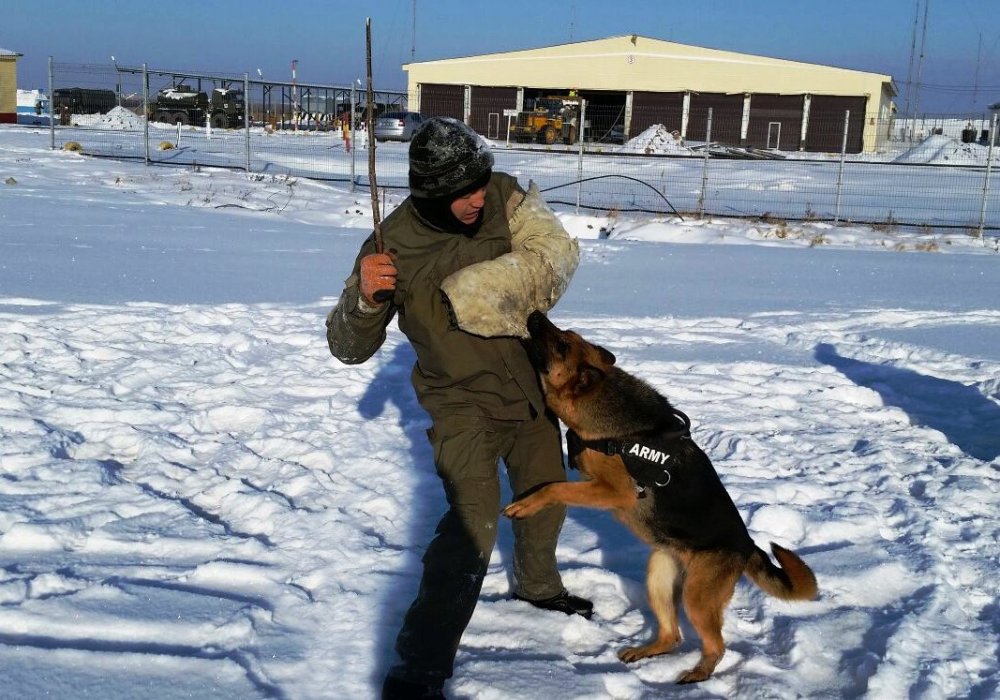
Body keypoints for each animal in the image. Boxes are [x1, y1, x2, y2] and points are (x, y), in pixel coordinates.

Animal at [504, 312, 816, 684]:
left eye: (562, 344)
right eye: (566, 334)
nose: (535, 314)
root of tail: (746, 545)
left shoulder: (614, 492)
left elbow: (554, 487)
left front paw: (525, 504)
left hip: (696, 596)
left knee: (716, 645)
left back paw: (698, 674)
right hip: (659, 576)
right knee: (672, 635)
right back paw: (645, 652)